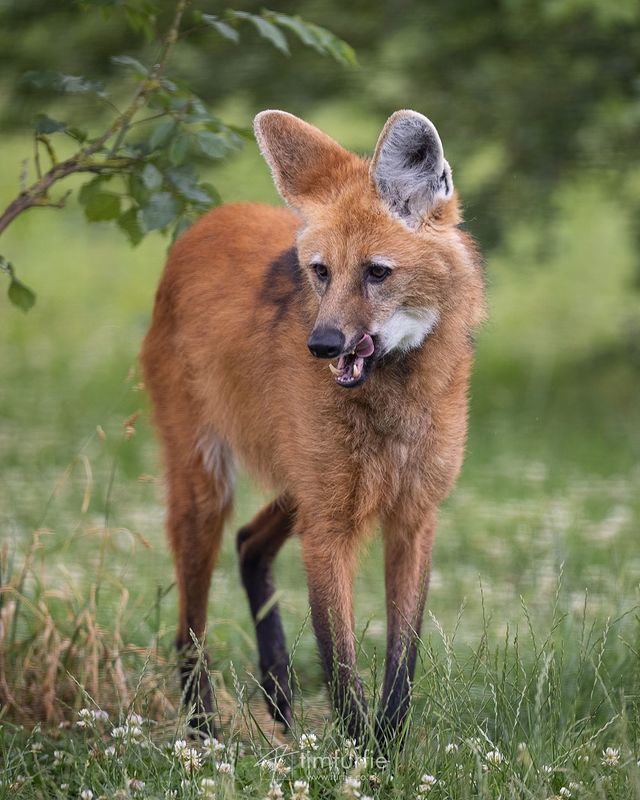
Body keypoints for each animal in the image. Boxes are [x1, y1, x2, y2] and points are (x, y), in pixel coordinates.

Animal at [141, 109, 484, 748]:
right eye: (321, 272)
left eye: (377, 273)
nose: (322, 344)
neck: (393, 401)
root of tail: (204, 224)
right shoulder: (329, 526)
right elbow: (340, 663)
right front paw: (359, 754)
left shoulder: (413, 514)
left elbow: (402, 661)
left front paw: (388, 747)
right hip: (211, 486)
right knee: (189, 625)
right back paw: (204, 732)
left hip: (302, 480)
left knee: (249, 542)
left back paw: (277, 691)